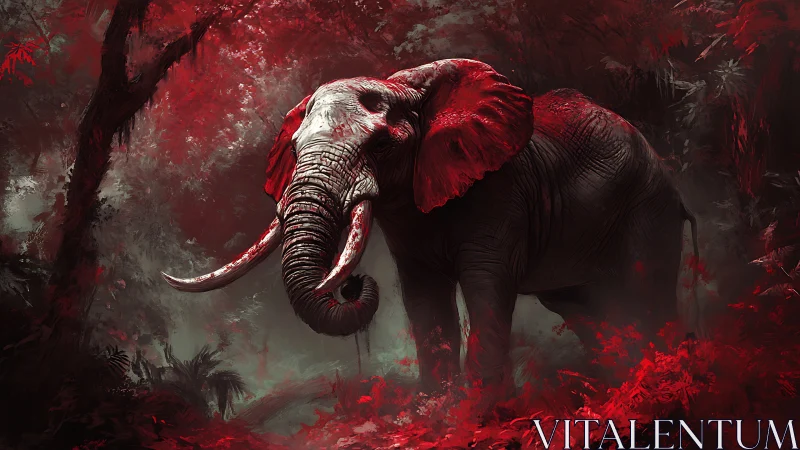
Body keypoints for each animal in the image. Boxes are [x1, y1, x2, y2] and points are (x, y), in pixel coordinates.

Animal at [162, 58, 699, 398]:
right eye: (293, 149)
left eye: (380, 145)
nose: (351, 285)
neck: (407, 86)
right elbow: (423, 300)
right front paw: (439, 413)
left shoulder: (499, 192)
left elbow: (486, 288)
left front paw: (484, 415)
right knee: (589, 311)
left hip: (647, 209)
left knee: (644, 298)